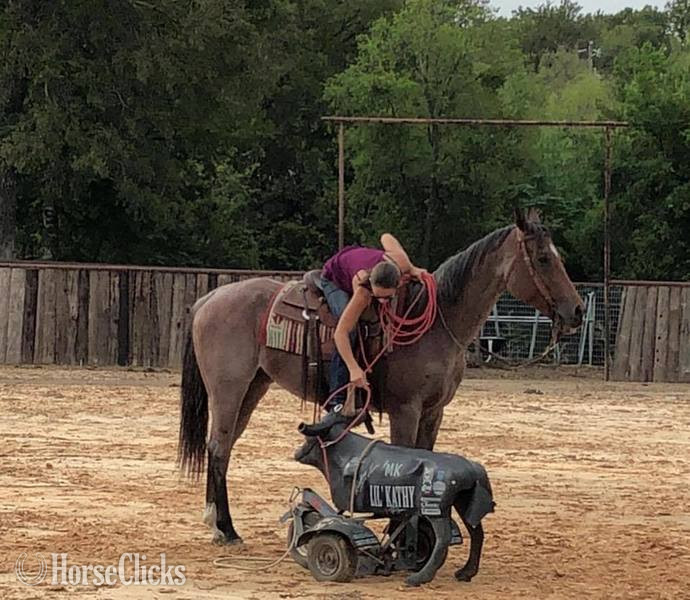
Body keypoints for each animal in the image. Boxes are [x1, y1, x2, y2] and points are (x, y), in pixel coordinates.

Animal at [178, 208, 584, 545]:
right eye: (544, 259)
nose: (578, 311)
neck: (438, 324)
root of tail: (208, 299)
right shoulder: (406, 409)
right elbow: (408, 465)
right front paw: (401, 534)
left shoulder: (434, 412)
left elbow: (427, 461)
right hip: (228, 389)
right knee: (218, 446)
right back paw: (227, 529)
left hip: (254, 386)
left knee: (223, 446)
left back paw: (215, 522)